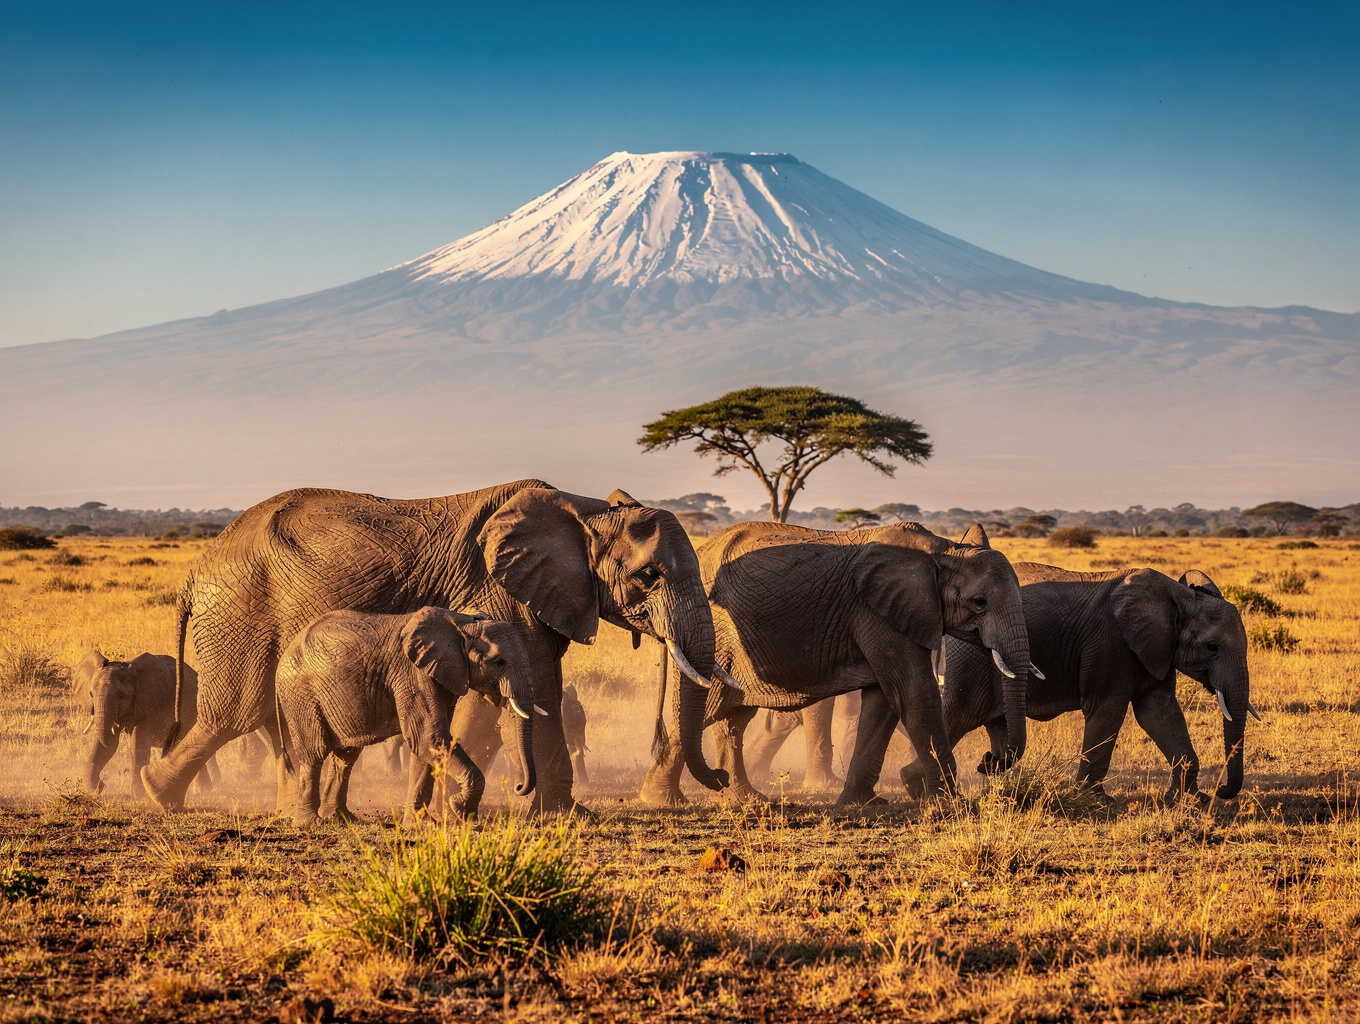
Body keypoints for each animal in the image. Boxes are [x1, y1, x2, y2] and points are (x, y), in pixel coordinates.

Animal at [76, 651, 219, 799]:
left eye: (121, 696)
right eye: (91, 694)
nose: (103, 784)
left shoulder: (149, 705)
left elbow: (138, 745)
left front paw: (138, 796)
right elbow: (105, 746)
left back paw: (205, 791)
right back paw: (202, 791)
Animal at [276, 606, 536, 825]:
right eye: (499, 662)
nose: (519, 787)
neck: (461, 623)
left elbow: (428, 746)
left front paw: (422, 824)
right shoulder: (413, 675)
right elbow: (428, 737)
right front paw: (460, 810)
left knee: (346, 756)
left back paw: (342, 819)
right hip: (300, 695)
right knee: (315, 753)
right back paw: (310, 822)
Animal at [640, 521, 1033, 806]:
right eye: (979, 602)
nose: (988, 761)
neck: (945, 549)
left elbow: (883, 703)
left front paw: (863, 805)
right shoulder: (878, 613)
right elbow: (914, 695)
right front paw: (950, 806)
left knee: (733, 718)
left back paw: (747, 799)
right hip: (719, 641)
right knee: (707, 710)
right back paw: (661, 801)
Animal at [899, 566, 1255, 802]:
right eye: (1212, 647)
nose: (1222, 791)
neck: (1178, 595)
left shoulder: (1155, 650)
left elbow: (1160, 713)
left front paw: (1189, 800)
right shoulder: (1111, 644)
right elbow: (1107, 712)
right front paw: (1094, 801)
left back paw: (920, 785)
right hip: (971, 660)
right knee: (959, 716)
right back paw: (919, 787)